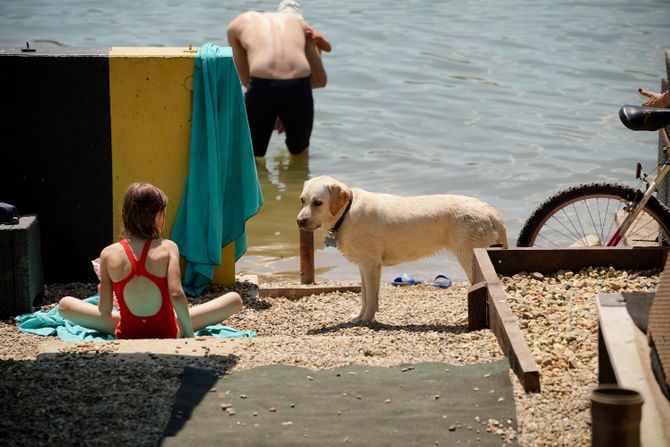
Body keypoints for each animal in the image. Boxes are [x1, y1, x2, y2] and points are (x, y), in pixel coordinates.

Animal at [296, 173, 506, 324]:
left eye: (318, 202)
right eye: (302, 200)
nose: (299, 221)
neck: (346, 213)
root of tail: (492, 212)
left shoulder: (371, 265)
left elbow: (370, 297)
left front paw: (367, 320)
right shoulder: (364, 265)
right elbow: (365, 296)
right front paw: (359, 317)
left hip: (471, 257)